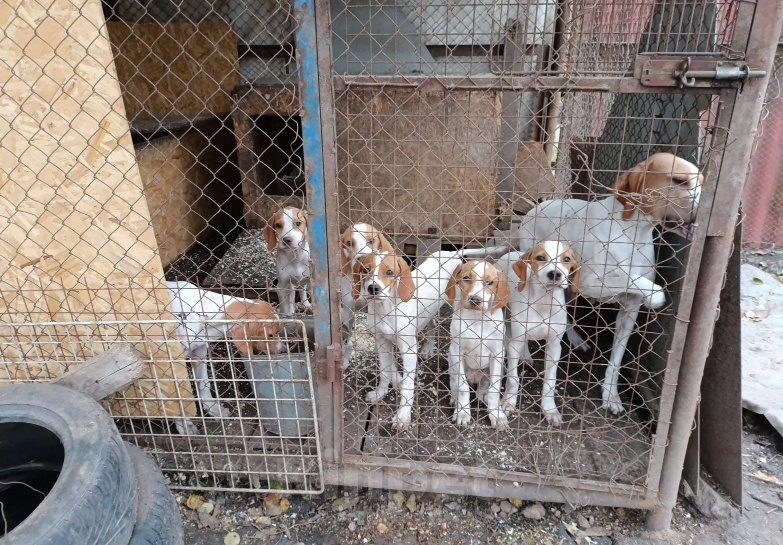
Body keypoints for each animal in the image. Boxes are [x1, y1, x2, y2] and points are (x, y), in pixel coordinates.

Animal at [340, 223, 396, 368]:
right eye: (349, 242)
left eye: (371, 241)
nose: (362, 260)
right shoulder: (348, 311)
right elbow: (347, 341)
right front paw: (345, 360)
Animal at [448, 260, 508, 430]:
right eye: (466, 278)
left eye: (489, 282)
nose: (475, 299)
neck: (476, 319)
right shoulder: (456, 351)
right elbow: (462, 387)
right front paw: (462, 412)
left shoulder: (497, 353)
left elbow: (494, 389)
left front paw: (497, 415)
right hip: (451, 360)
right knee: (455, 382)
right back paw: (455, 397)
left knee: (485, 384)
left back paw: (483, 394)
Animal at [500, 241, 580, 424]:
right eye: (540, 258)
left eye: (566, 259)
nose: (555, 274)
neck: (544, 301)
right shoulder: (515, 343)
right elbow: (513, 378)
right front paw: (508, 402)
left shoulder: (554, 347)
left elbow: (550, 381)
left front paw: (550, 410)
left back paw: (526, 357)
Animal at [512, 153, 700, 412]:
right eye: (679, 180)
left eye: (702, 182)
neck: (633, 232)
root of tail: (536, 207)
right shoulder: (590, 282)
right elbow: (628, 277)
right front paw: (655, 295)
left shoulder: (630, 310)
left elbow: (617, 360)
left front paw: (610, 395)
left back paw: (574, 337)